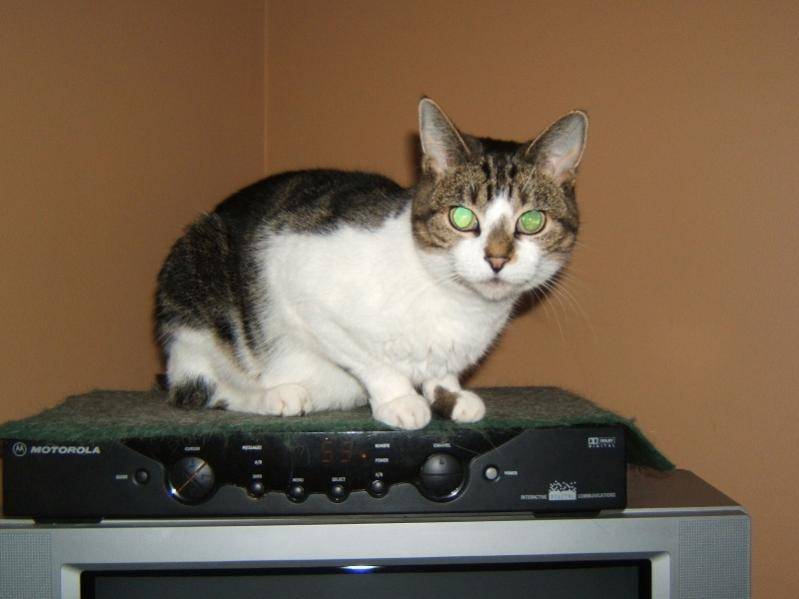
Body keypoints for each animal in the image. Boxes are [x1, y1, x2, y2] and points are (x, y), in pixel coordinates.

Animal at [155, 99, 587, 430]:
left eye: (532, 221)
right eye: (462, 217)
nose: (497, 258)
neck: (457, 303)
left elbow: (439, 370)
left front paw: (449, 392)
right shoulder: (299, 286)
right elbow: (369, 358)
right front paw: (400, 399)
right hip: (194, 282)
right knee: (198, 388)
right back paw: (276, 395)